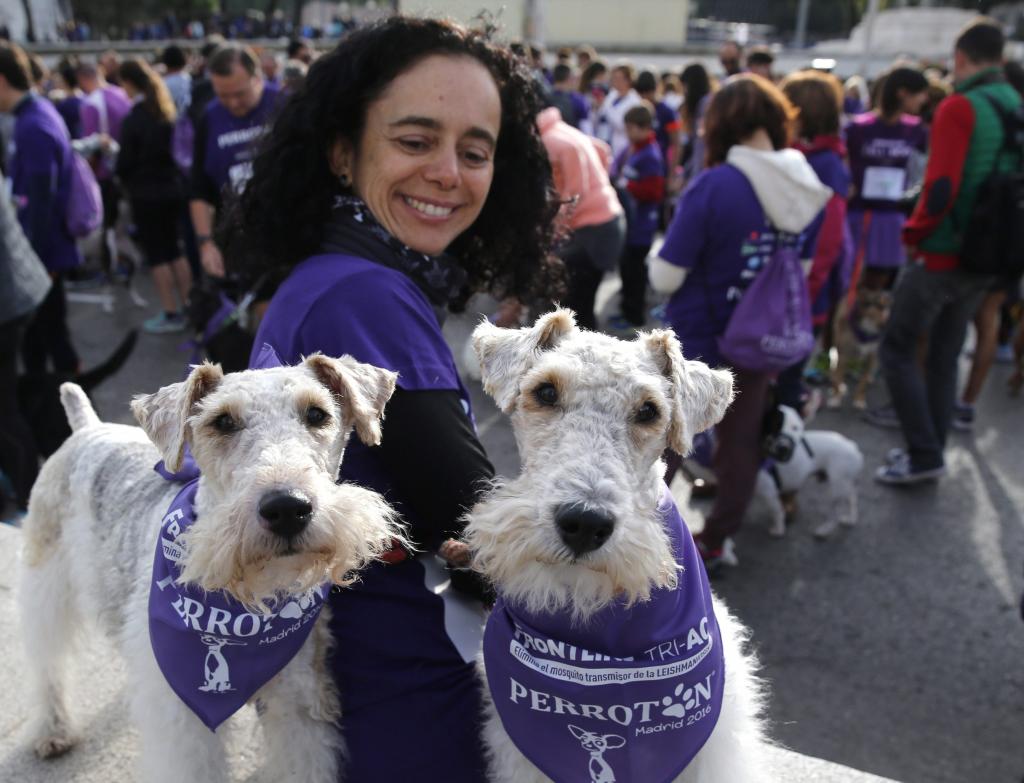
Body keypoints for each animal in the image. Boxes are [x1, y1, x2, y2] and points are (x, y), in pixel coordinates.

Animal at [19, 356, 403, 781]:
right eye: (222, 421)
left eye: (317, 414)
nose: (287, 508)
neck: (246, 600)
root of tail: (88, 426)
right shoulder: (184, 721)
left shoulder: (299, 702)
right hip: (46, 584)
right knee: (47, 661)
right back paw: (53, 730)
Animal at [753, 403, 864, 536]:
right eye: (774, 425)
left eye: (795, 428)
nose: (784, 448)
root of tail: (854, 448)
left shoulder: (768, 494)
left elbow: (777, 512)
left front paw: (779, 530)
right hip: (845, 485)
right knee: (852, 499)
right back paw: (851, 519)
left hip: (836, 489)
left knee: (835, 514)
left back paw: (823, 531)